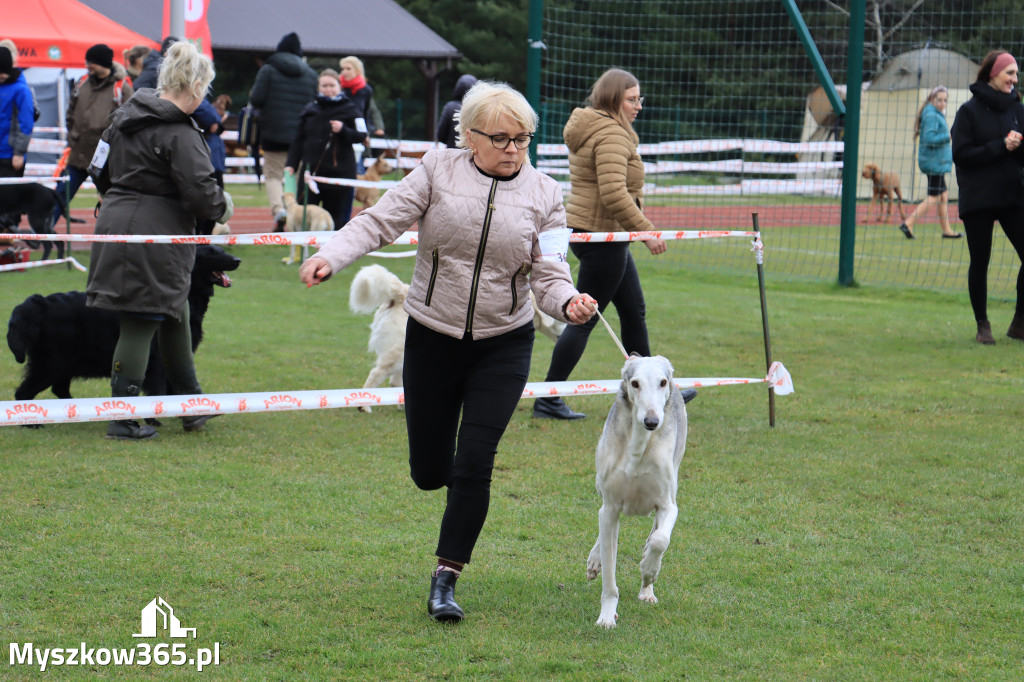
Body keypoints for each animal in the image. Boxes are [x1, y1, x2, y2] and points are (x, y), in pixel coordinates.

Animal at [7, 242, 238, 401]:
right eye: (211, 253)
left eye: (221, 249)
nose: (237, 260)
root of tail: (39, 302)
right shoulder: (158, 359)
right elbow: (161, 390)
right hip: (52, 363)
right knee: (23, 393)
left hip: (63, 363)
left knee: (58, 389)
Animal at [585, 352, 688, 622]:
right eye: (635, 383)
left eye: (662, 382)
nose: (651, 421)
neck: (639, 446)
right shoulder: (610, 508)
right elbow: (610, 574)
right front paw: (607, 616)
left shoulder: (667, 505)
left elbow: (660, 540)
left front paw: (648, 569)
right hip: (601, 487)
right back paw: (595, 560)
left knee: (655, 535)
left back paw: (647, 589)